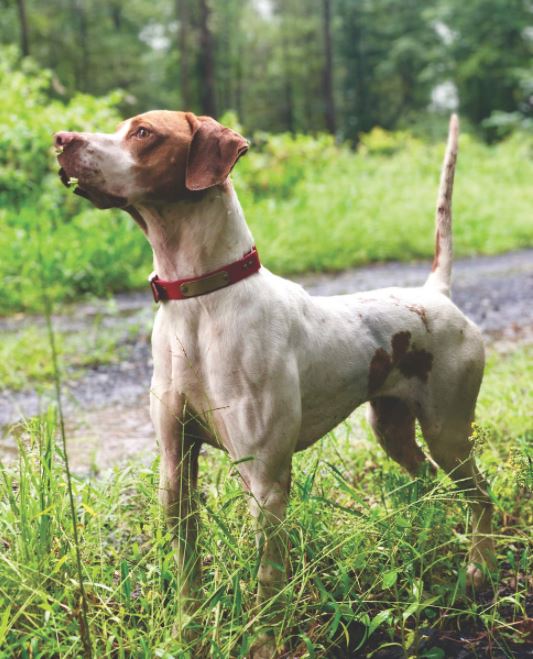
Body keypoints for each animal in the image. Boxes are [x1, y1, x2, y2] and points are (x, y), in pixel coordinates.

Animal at [55, 113, 494, 659]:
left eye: (143, 133)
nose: (61, 140)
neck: (200, 304)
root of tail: (436, 293)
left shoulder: (265, 483)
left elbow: (267, 580)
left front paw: (264, 643)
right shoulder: (175, 470)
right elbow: (187, 569)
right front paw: (186, 635)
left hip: (448, 433)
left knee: (481, 496)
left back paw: (479, 568)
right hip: (392, 430)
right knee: (428, 484)